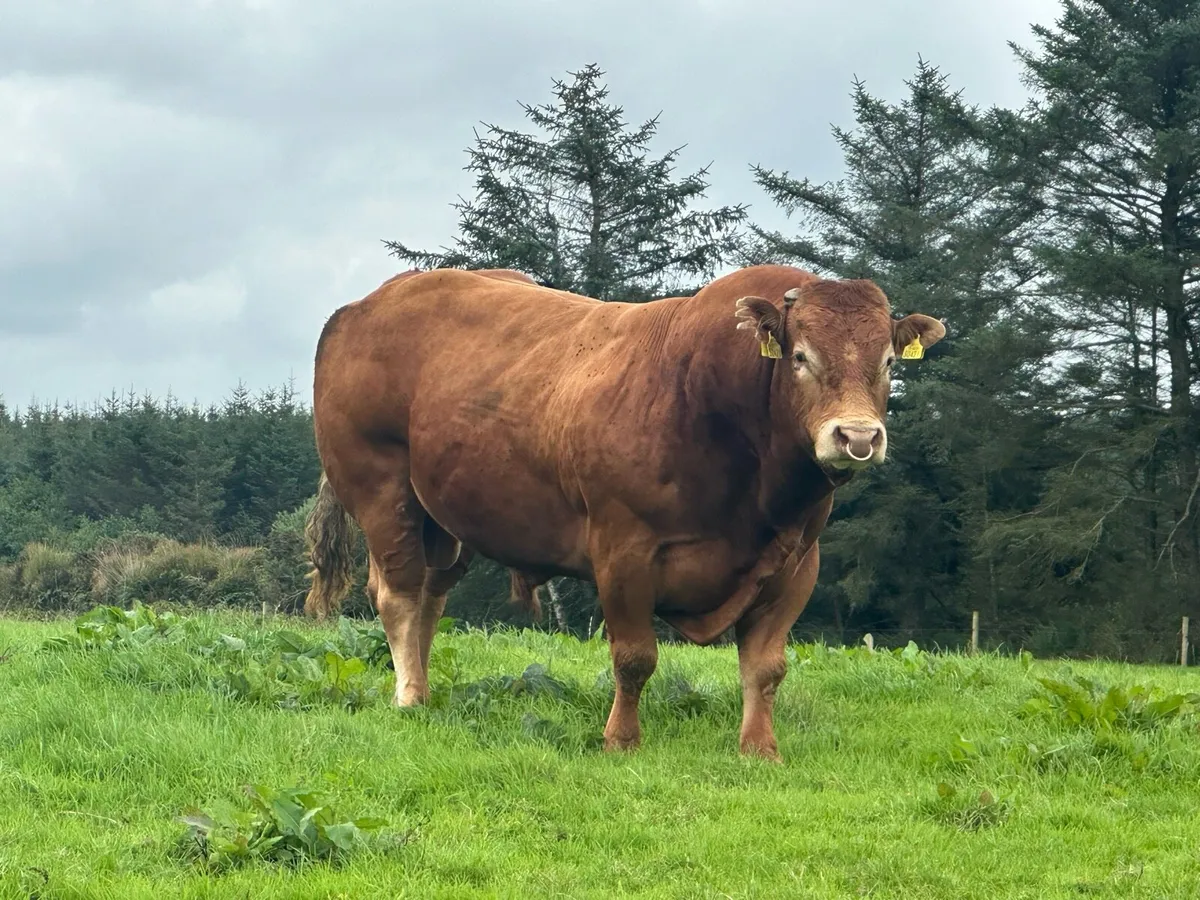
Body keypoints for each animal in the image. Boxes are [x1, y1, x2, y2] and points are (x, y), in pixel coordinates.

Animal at [302, 264, 945, 760]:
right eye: (801, 357)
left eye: (889, 361)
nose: (857, 437)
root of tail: (368, 302)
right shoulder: (623, 548)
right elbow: (635, 657)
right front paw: (621, 740)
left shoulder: (796, 563)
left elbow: (766, 667)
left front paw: (760, 748)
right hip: (383, 487)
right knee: (399, 593)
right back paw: (410, 695)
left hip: (445, 512)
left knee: (432, 595)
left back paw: (427, 687)